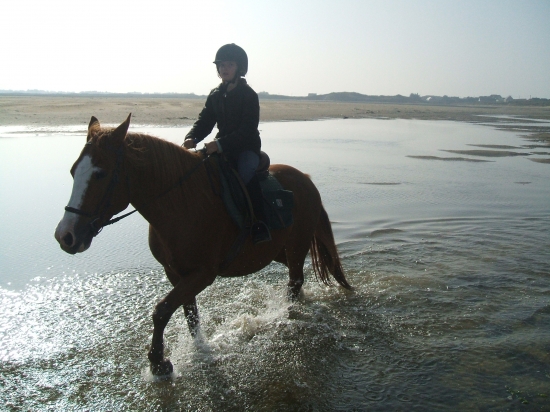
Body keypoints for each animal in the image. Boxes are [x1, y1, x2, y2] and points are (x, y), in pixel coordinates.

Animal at [54, 114, 352, 374]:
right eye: (72, 171)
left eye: (100, 174)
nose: (65, 236)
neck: (182, 203)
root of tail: (307, 181)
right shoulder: (176, 273)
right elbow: (189, 314)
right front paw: (197, 347)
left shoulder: (203, 274)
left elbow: (161, 311)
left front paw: (159, 363)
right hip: (279, 251)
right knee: (295, 278)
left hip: (297, 245)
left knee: (295, 282)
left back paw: (284, 315)